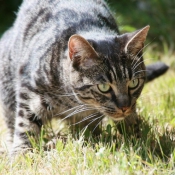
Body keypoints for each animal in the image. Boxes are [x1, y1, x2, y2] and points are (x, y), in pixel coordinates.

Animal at [0, 0, 168, 156]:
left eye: (133, 83)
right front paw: (21, 154)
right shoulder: (29, 90)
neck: (71, 101)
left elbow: (130, 121)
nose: (124, 107)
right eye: (104, 87)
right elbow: (25, 125)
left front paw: (138, 138)